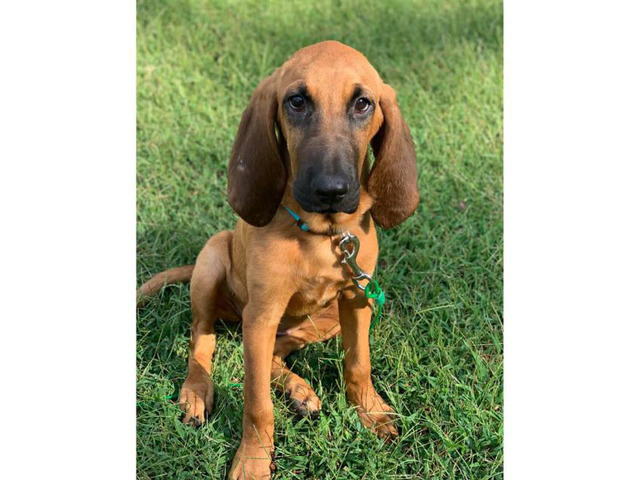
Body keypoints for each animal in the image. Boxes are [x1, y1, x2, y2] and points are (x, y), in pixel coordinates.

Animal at [139, 42, 420, 480]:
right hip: (213, 259)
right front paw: (255, 459)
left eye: (363, 104)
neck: (321, 235)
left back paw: (299, 390)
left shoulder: (358, 300)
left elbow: (359, 364)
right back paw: (197, 391)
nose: (331, 190)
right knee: (202, 337)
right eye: (297, 102)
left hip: (323, 321)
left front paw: (369, 411)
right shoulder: (261, 316)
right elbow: (257, 405)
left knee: (275, 353)